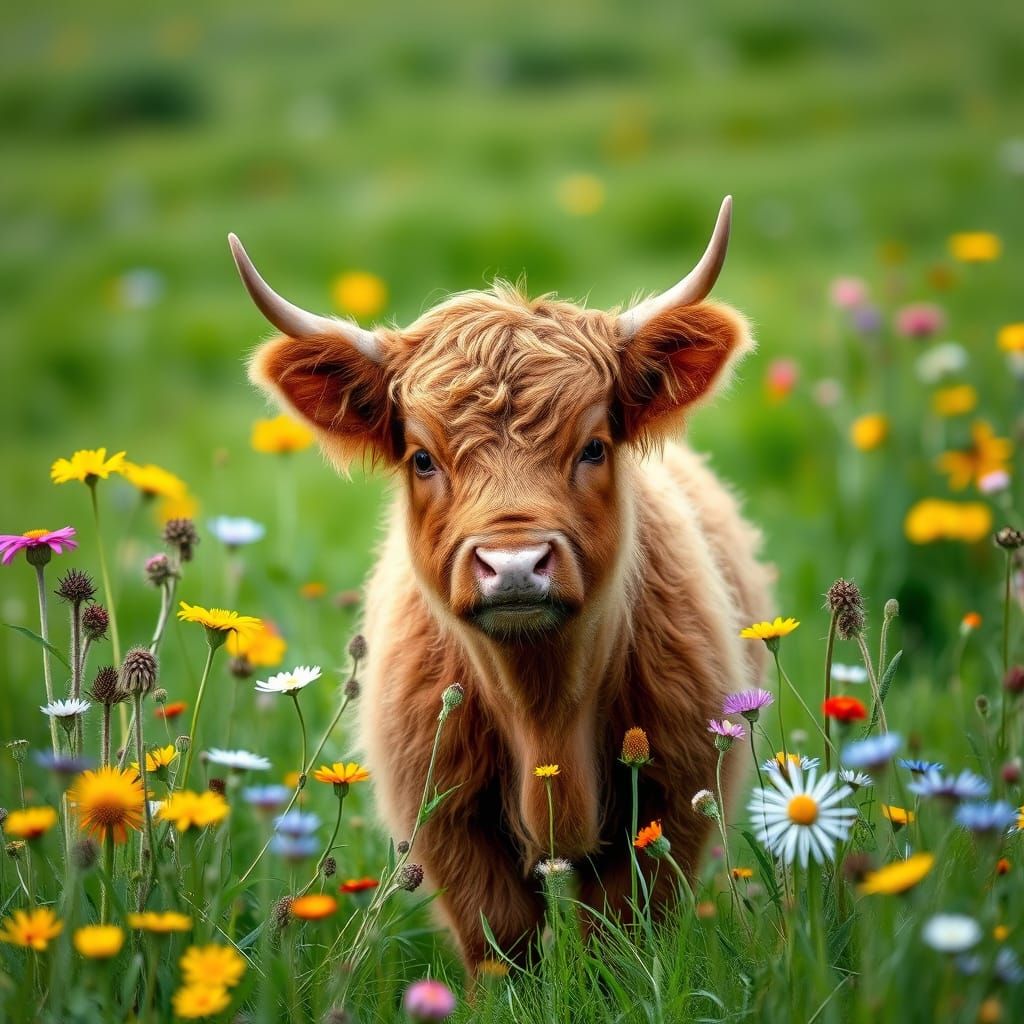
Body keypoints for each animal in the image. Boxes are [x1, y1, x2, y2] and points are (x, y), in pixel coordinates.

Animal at [230, 196, 772, 970]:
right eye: (422, 458)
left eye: (594, 446)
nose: (514, 565)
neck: (543, 711)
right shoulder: (445, 819)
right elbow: (502, 940)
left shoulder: (674, 794)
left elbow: (621, 934)